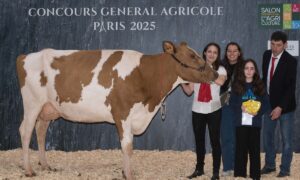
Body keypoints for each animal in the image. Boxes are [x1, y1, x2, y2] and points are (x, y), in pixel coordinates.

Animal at [16, 41, 218, 179]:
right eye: (191, 55)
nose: (215, 73)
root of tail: (25, 56)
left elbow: (128, 147)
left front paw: (125, 171)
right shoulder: (122, 113)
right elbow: (127, 147)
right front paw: (128, 174)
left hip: (48, 109)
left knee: (40, 131)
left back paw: (45, 165)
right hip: (32, 103)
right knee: (25, 131)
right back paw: (29, 170)